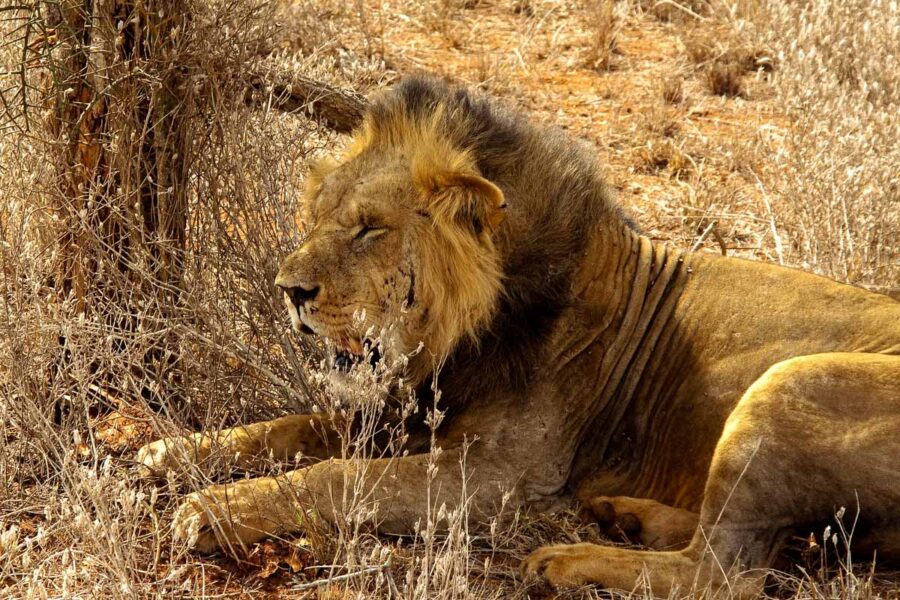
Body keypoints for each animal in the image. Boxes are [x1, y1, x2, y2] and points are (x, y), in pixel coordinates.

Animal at [137, 75, 900, 594]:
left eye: (370, 228)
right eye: (318, 216)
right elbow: (292, 427)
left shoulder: (500, 474)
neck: (463, 335)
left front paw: (212, 507)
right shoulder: (408, 411)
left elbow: (339, 475)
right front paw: (173, 452)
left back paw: (566, 559)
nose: (288, 289)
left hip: (790, 379)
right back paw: (626, 514)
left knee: (723, 573)